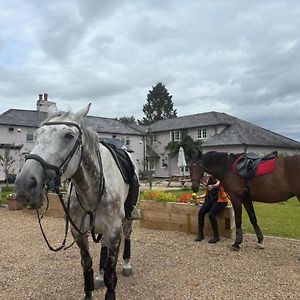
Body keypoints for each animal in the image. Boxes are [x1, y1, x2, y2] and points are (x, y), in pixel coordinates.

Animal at [15, 103, 139, 300]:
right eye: (37, 134)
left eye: (69, 136)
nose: (24, 184)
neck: (92, 189)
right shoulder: (79, 233)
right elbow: (86, 265)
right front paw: (92, 285)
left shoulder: (113, 230)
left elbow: (111, 273)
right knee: (102, 246)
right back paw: (99, 275)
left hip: (127, 219)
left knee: (127, 234)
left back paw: (127, 264)